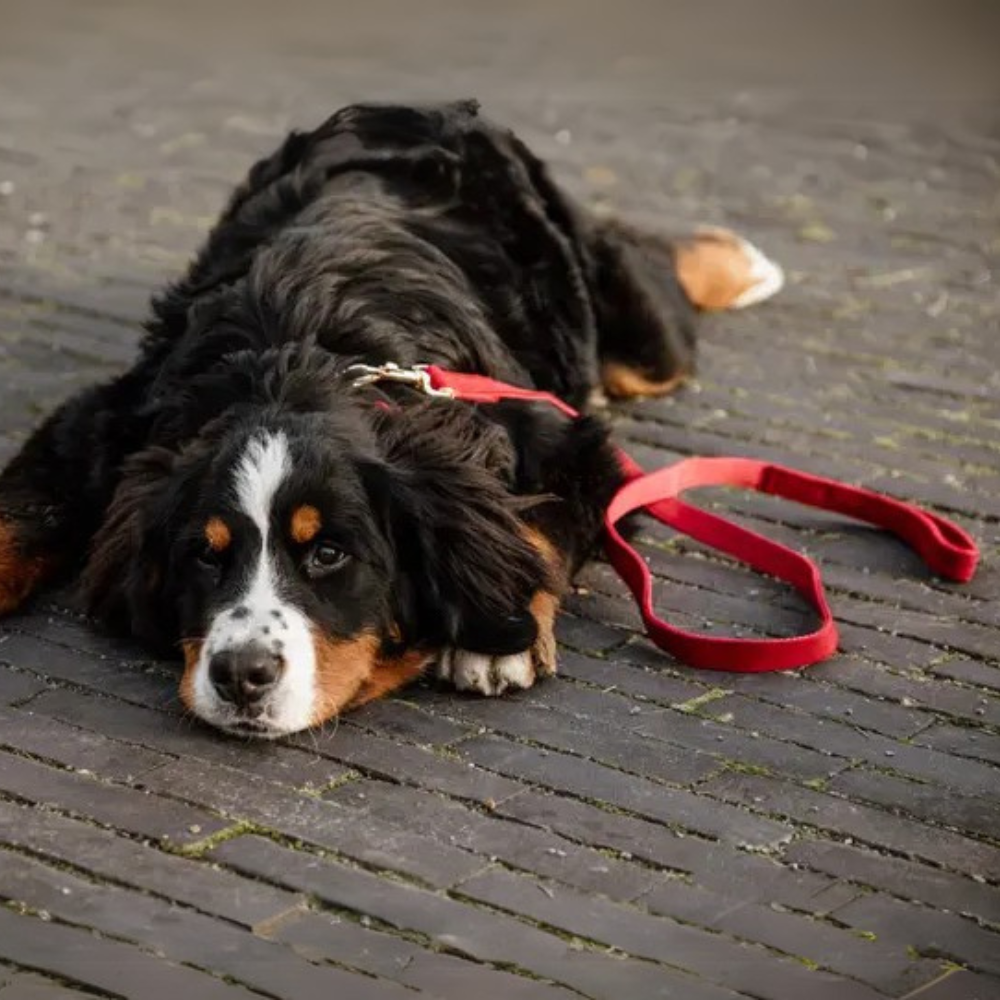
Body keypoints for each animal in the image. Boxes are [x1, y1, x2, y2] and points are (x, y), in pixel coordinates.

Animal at [0, 103, 780, 744]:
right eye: (205, 555)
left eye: (328, 554)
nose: (241, 674)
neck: (309, 351)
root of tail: (417, 106)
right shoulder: (103, 422)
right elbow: (22, 511)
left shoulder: (572, 444)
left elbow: (530, 527)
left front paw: (497, 637)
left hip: (641, 343)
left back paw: (737, 260)